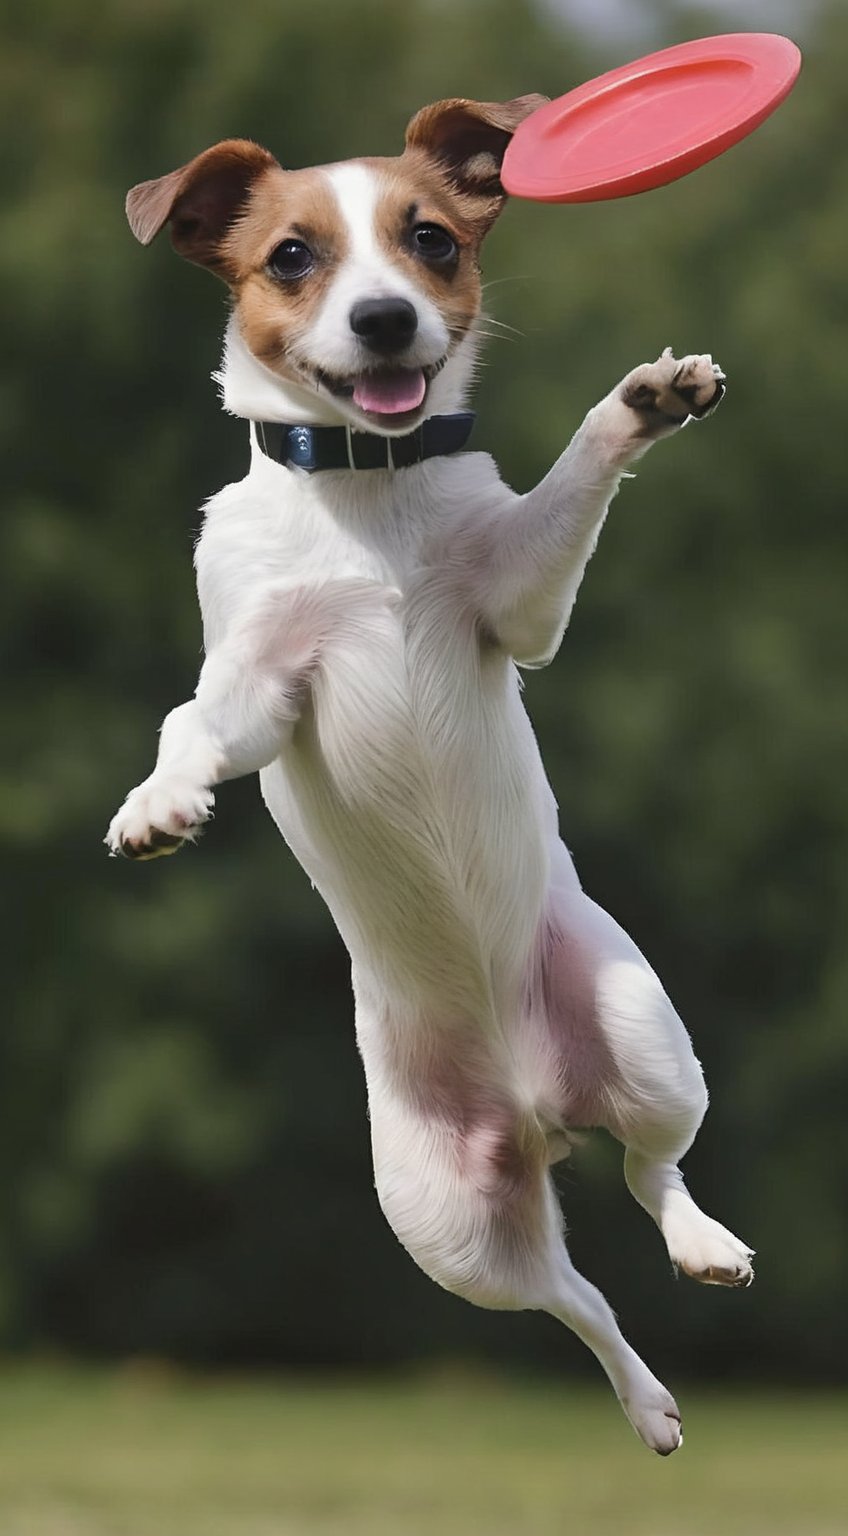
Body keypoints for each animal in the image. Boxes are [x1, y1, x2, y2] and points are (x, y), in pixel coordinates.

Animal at [109, 96, 752, 1449]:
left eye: (432, 241)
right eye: (290, 258)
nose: (384, 319)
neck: (370, 498)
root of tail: (536, 1109)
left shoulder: (512, 603)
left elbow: (570, 480)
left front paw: (645, 400)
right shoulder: (261, 680)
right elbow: (195, 723)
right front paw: (157, 804)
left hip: (641, 1035)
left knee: (649, 1169)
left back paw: (702, 1250)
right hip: (444, 1221)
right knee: (573, 1295)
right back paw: (647, 1400)